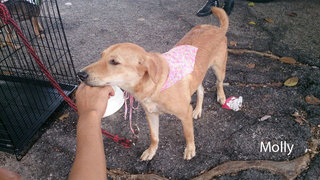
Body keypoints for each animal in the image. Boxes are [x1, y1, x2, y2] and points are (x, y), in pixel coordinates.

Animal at [79, 7, 230, 160]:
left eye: (114, 62)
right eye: (101, 56)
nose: (80, 74)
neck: (153, 88)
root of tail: (217, 28)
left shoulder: (185, 114)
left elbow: (188, 135)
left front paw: (190, 149)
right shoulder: (151, 114)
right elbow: (154, 137)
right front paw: (151, 151)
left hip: (219, 70)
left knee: (219, 83)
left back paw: (221, 97)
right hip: (197, 75)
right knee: (201, 90)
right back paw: (198, 110)